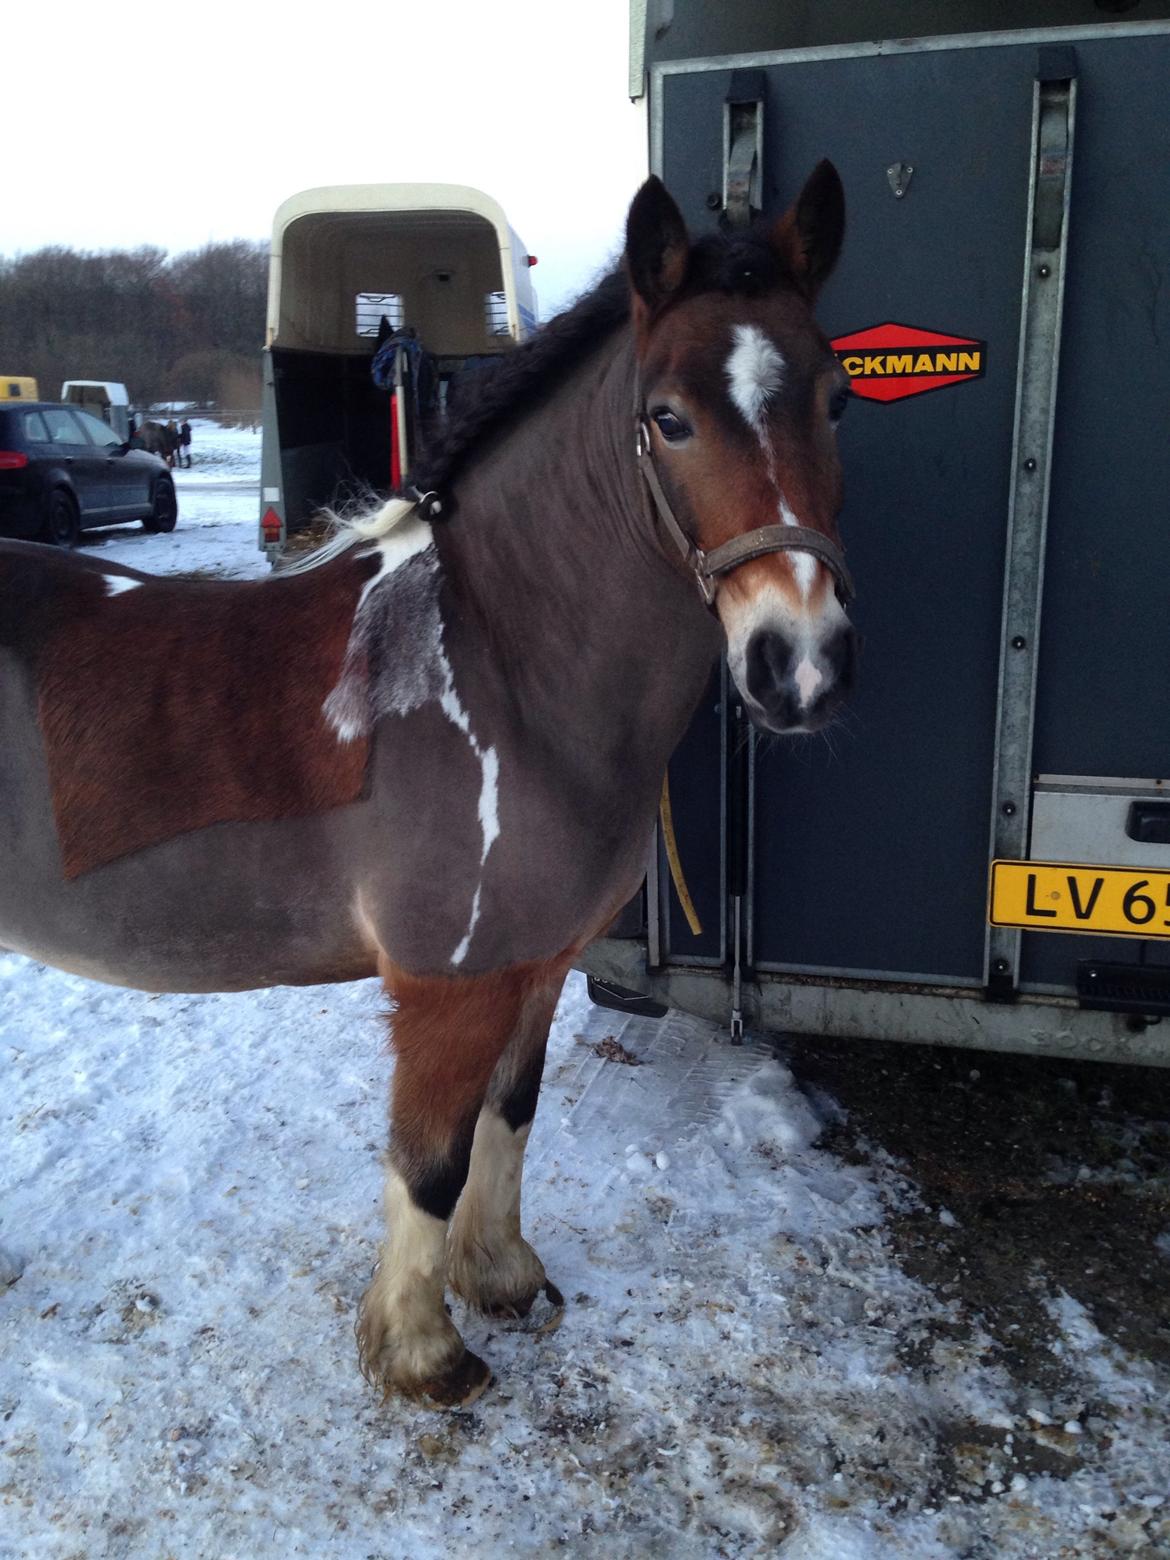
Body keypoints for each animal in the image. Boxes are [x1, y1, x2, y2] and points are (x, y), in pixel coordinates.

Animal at [0, 164, 861, 1410]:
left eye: (838, 400)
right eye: (669, 417)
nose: (801, 665)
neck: (502, 669)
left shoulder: (534, 968)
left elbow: (510, 1120)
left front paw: (500, 1277)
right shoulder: (446, 987)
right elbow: (431, 1162)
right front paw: (420, 1350)